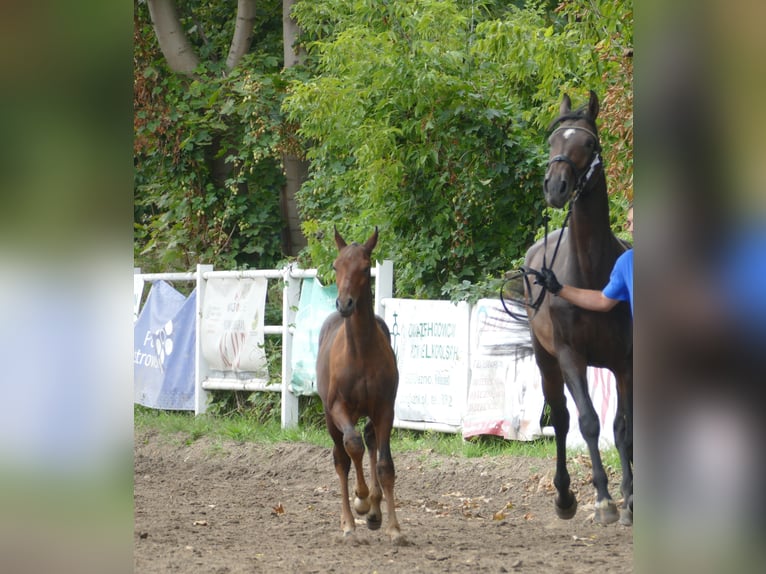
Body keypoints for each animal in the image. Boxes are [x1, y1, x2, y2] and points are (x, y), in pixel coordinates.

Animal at [315, 227, 403, 543]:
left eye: (365, 268)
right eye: (335, 266)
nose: (344, 304)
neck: (360, 351)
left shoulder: (385, 409)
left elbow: (385, 465)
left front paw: (393, 527)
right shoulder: (339, 408)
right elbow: (352, 446)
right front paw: (361, 499)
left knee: (370, 440)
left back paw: (375, 512)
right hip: (331, 417)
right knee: (342, 457)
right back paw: (350, 521)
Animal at [523, 90, 633, 525]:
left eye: (589, 142)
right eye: (553, 140)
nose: (556, 186)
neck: (589, 272)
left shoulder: (624, 361)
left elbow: (623, 428)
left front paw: (630, 498)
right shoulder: (571, 357)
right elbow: (587, 422)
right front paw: (603, 499)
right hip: (547, 362)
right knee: (562, 419)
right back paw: (565, 496)